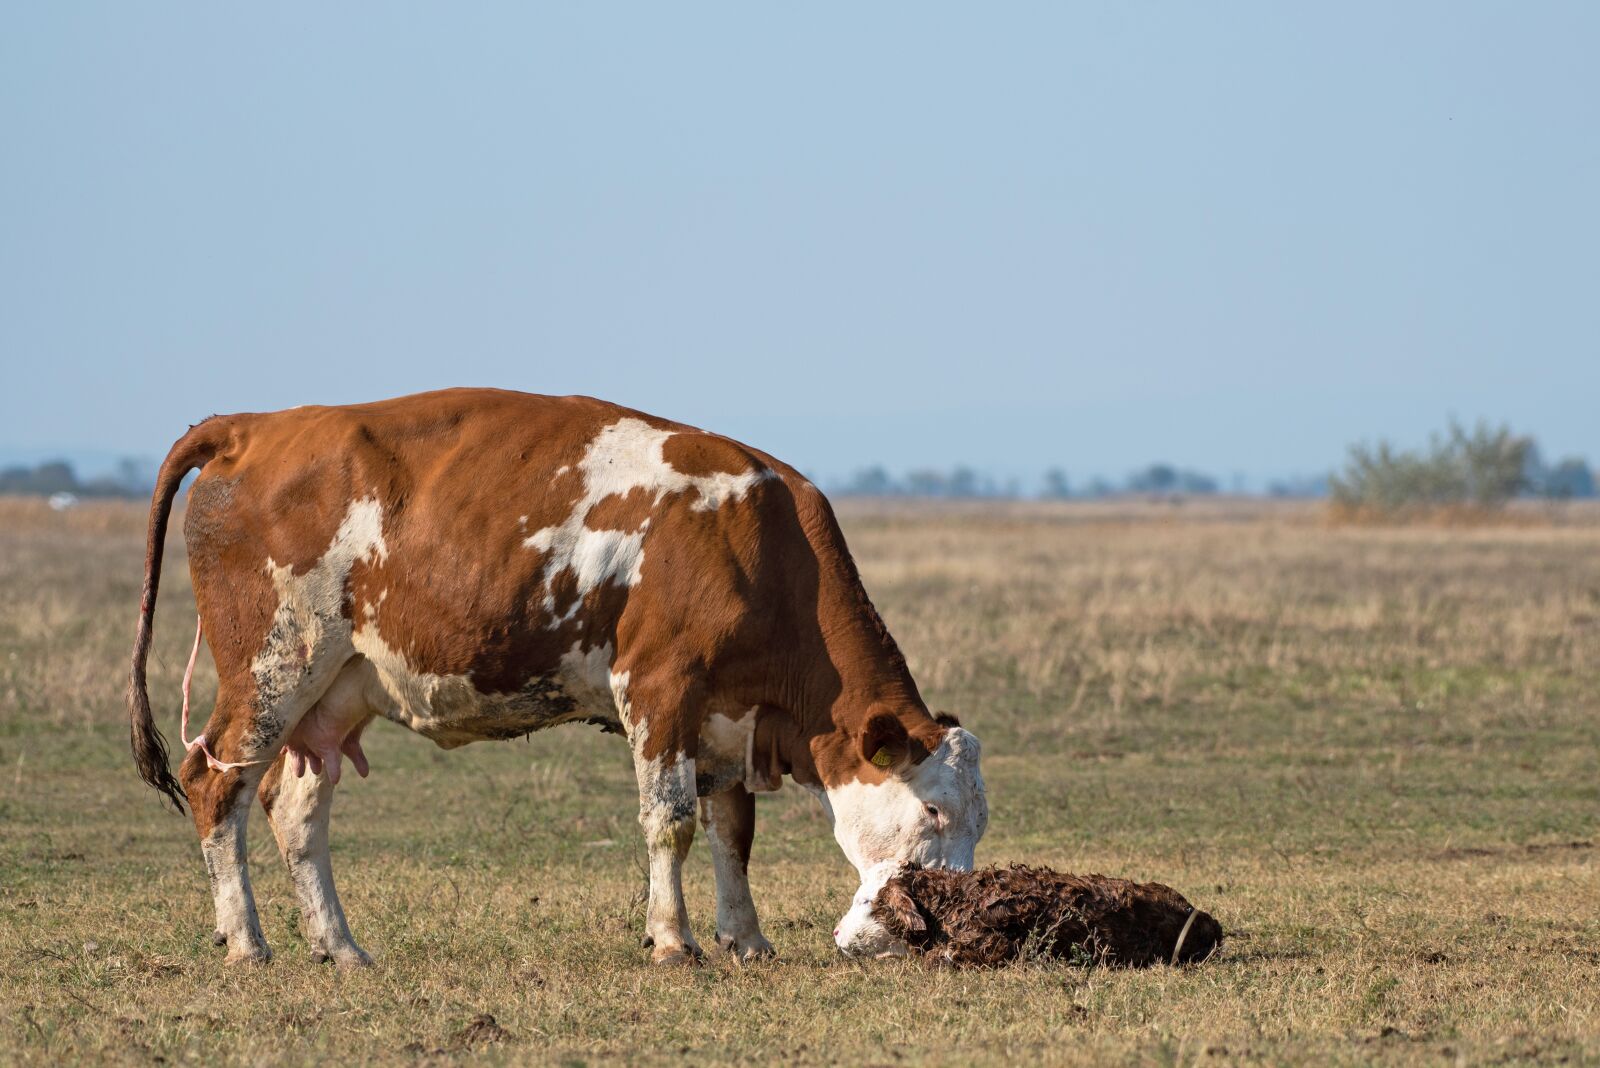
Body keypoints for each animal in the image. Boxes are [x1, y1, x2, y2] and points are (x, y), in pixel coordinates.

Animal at [128, 389, 988, 966]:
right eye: (934, 812)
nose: (944, 922)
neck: (761, 546)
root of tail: (254, 428)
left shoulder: (726, 715)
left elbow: (733, 832)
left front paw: (746, 941)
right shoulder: (660, 688)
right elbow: (670, 822)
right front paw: (673, 943)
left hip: (336, 689)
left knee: (295, 809)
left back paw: (340, 947)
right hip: (274, 667)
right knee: (216, 785)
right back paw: (248, 944)